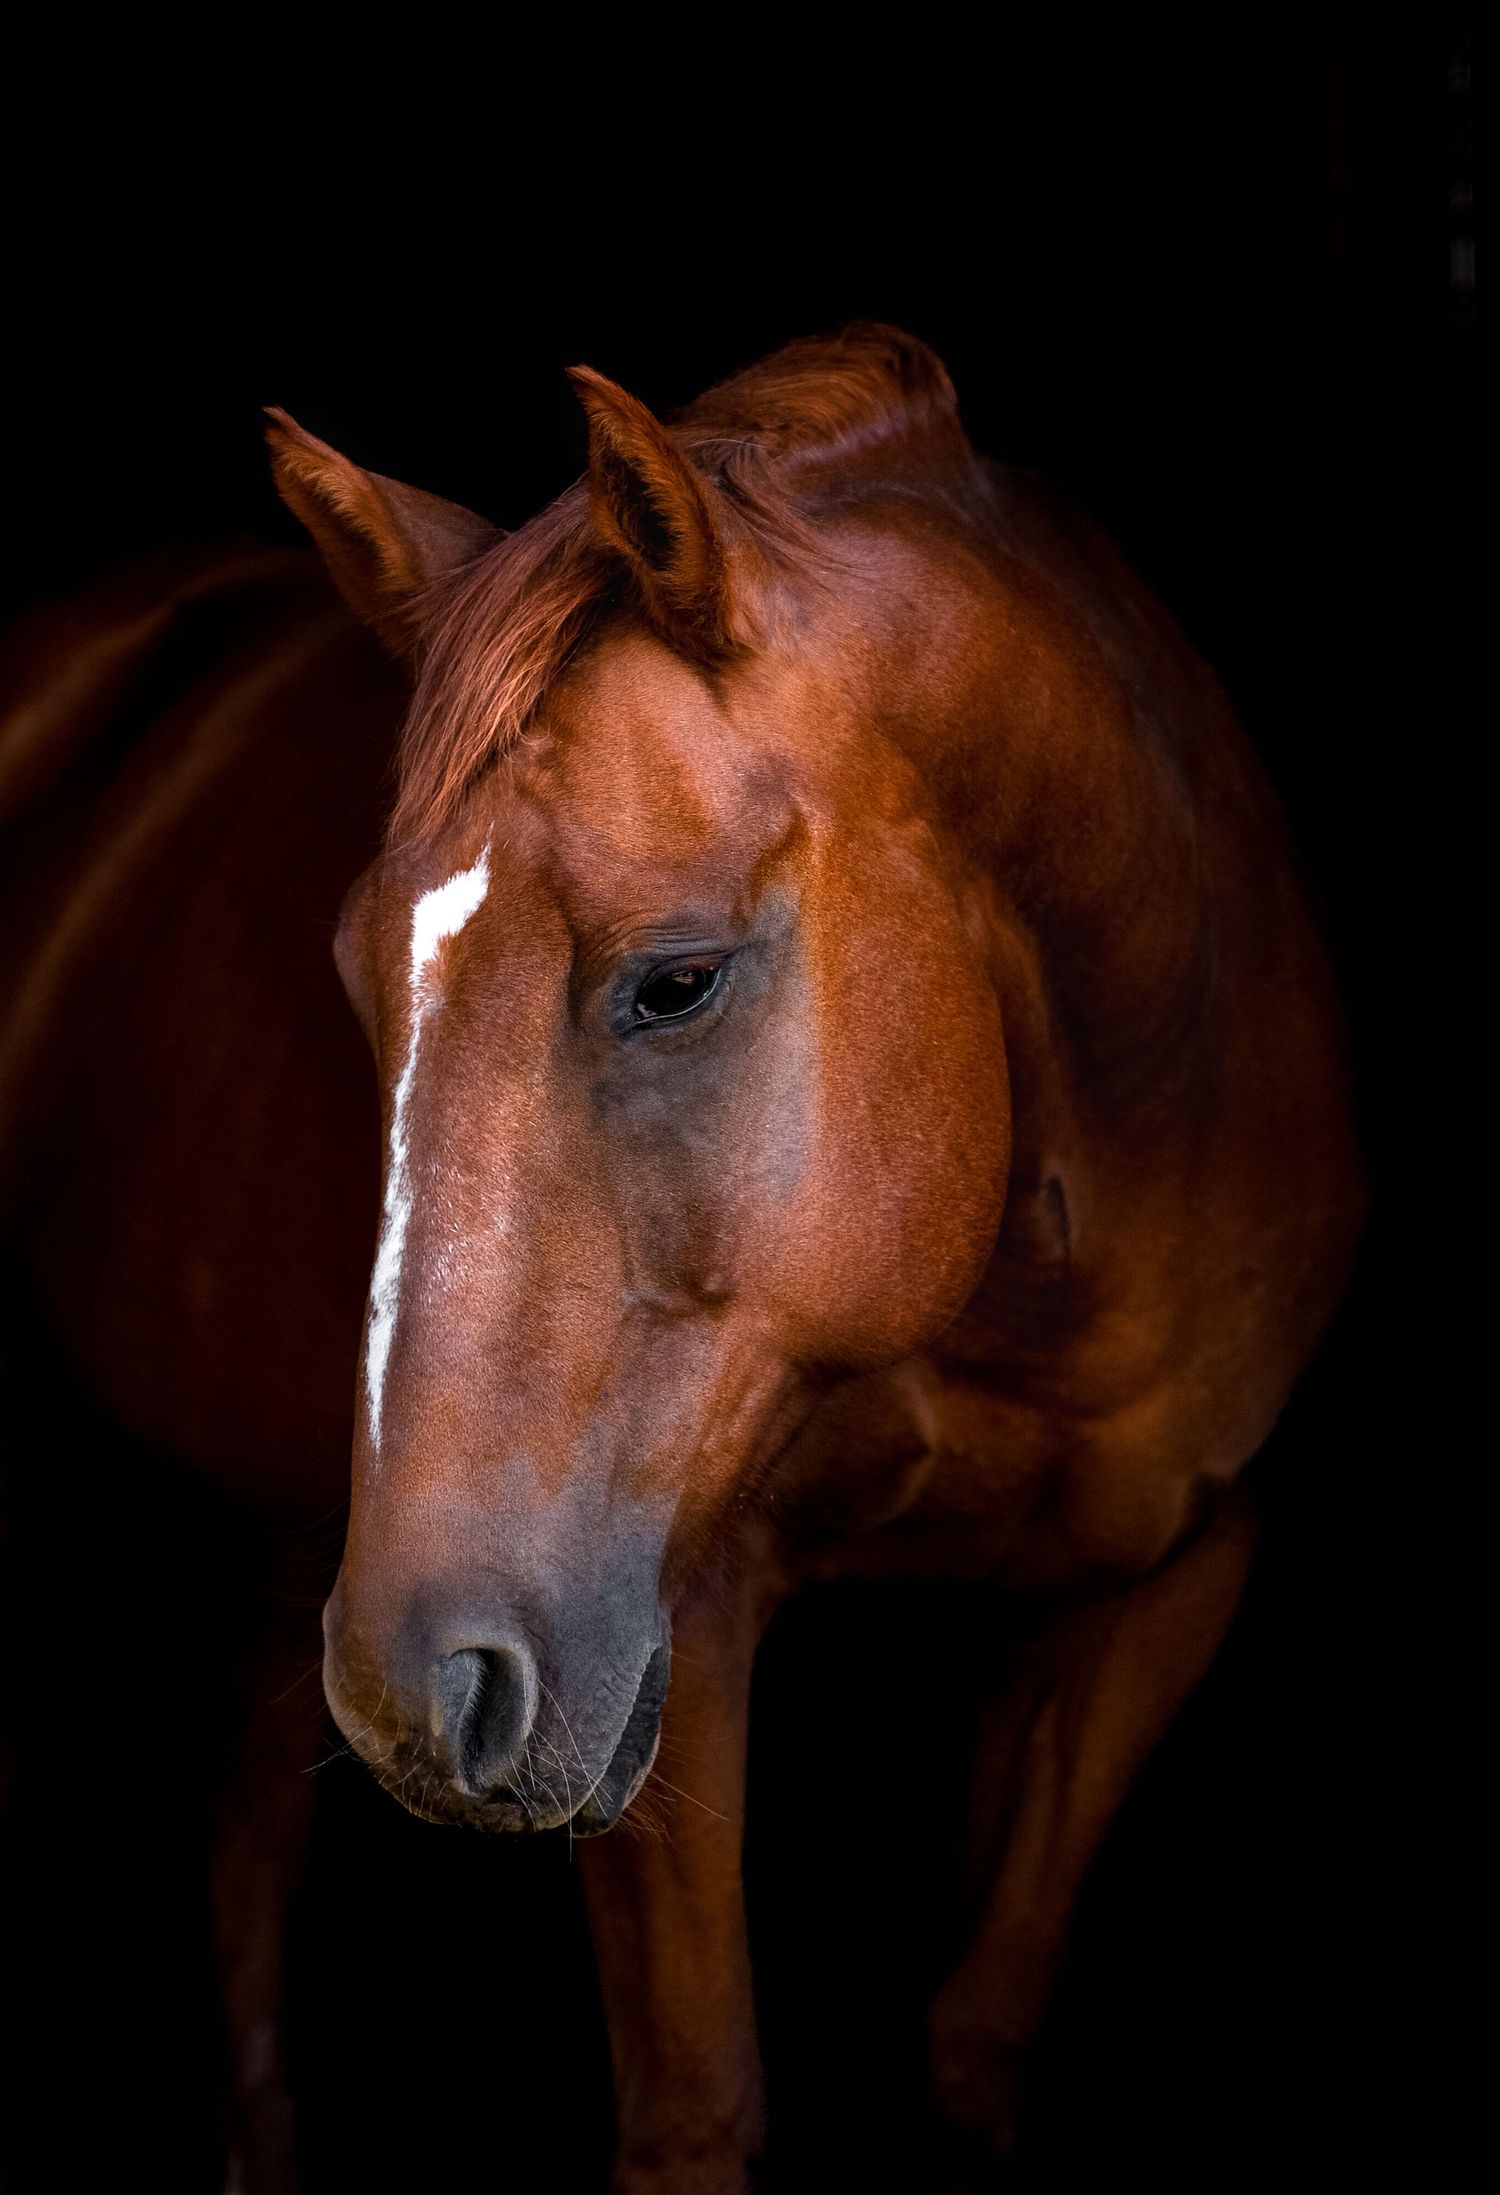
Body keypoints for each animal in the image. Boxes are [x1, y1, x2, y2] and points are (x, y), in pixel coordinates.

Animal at [0, 323, 1363, 2192]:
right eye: (356, 986)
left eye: (677, 979)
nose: (425, 1687)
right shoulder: (675, 1632)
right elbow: (699, 2104)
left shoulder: (1162, 1590)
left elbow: (979, 2022)